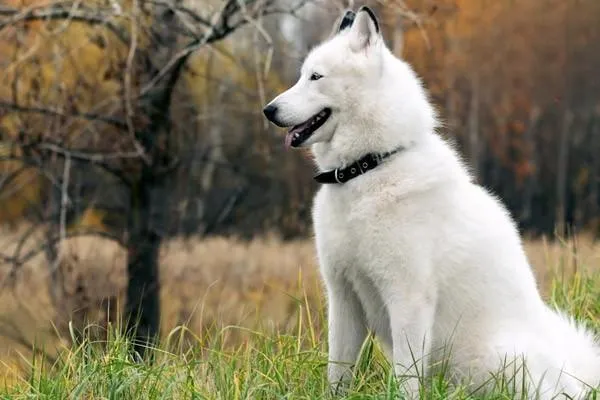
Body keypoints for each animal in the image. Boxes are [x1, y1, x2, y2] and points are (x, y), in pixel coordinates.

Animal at [264, 7, 600, 400]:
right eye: (302, 75)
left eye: (315, 77)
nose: (268, 110)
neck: (369, 168)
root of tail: (574, 377)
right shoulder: (343, 296)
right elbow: (338, 373)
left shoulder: (407, 297)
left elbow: (406, 377)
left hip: (496, 359)